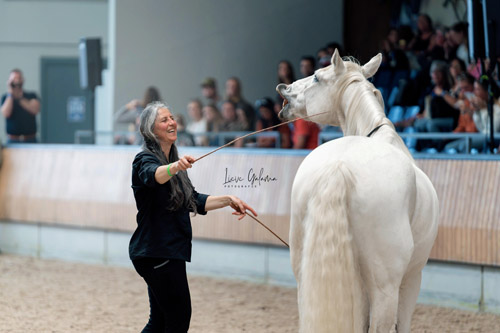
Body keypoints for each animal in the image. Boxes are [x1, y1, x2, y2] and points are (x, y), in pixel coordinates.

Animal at [280, 50, 440, 332]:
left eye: (317, 77)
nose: (284, 88)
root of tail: (338, 167)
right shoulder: (411, 279)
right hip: (385, 287)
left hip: (304, 274)